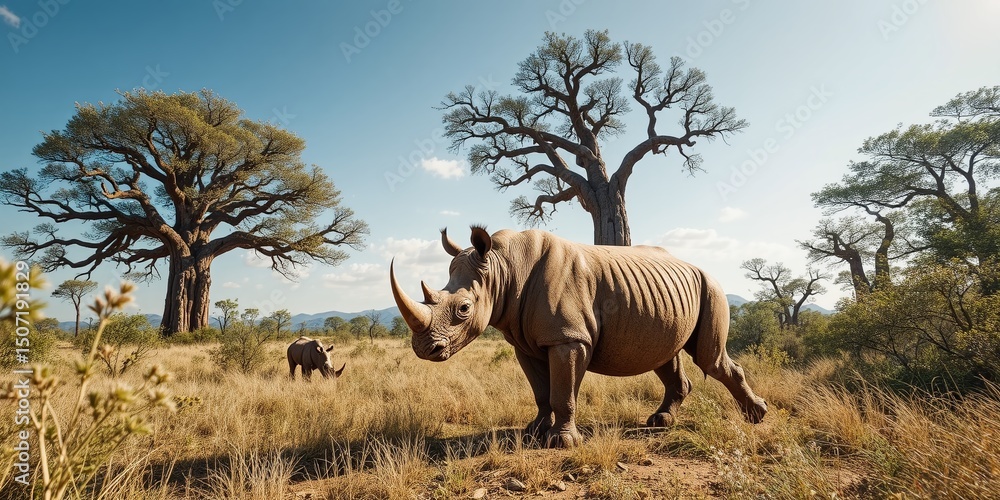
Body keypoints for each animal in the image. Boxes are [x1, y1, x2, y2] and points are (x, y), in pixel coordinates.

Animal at [390, 226, 767, 447]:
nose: (424, 349)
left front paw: (562, 442)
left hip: (711, 289)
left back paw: (756, 416)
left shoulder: (568, 337)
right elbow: (542, 392)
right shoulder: (526, 341)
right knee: (664, 355)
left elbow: (562, 392)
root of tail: (699, 268)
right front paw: (533, 431)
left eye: (464, 309)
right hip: (668, 295)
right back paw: (660, 423)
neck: (502, 266)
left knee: (710, 359)